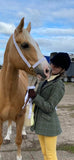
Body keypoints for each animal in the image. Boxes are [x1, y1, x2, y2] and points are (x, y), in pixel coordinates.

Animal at [0, 17, 48, 160]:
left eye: (37, 44)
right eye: (25, 45)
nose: (47, 70)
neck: (7, 91)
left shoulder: (20, 115)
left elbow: (18, 140)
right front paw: (6, 137)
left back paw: (24, 133)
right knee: (10, 122)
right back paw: (7, 136)